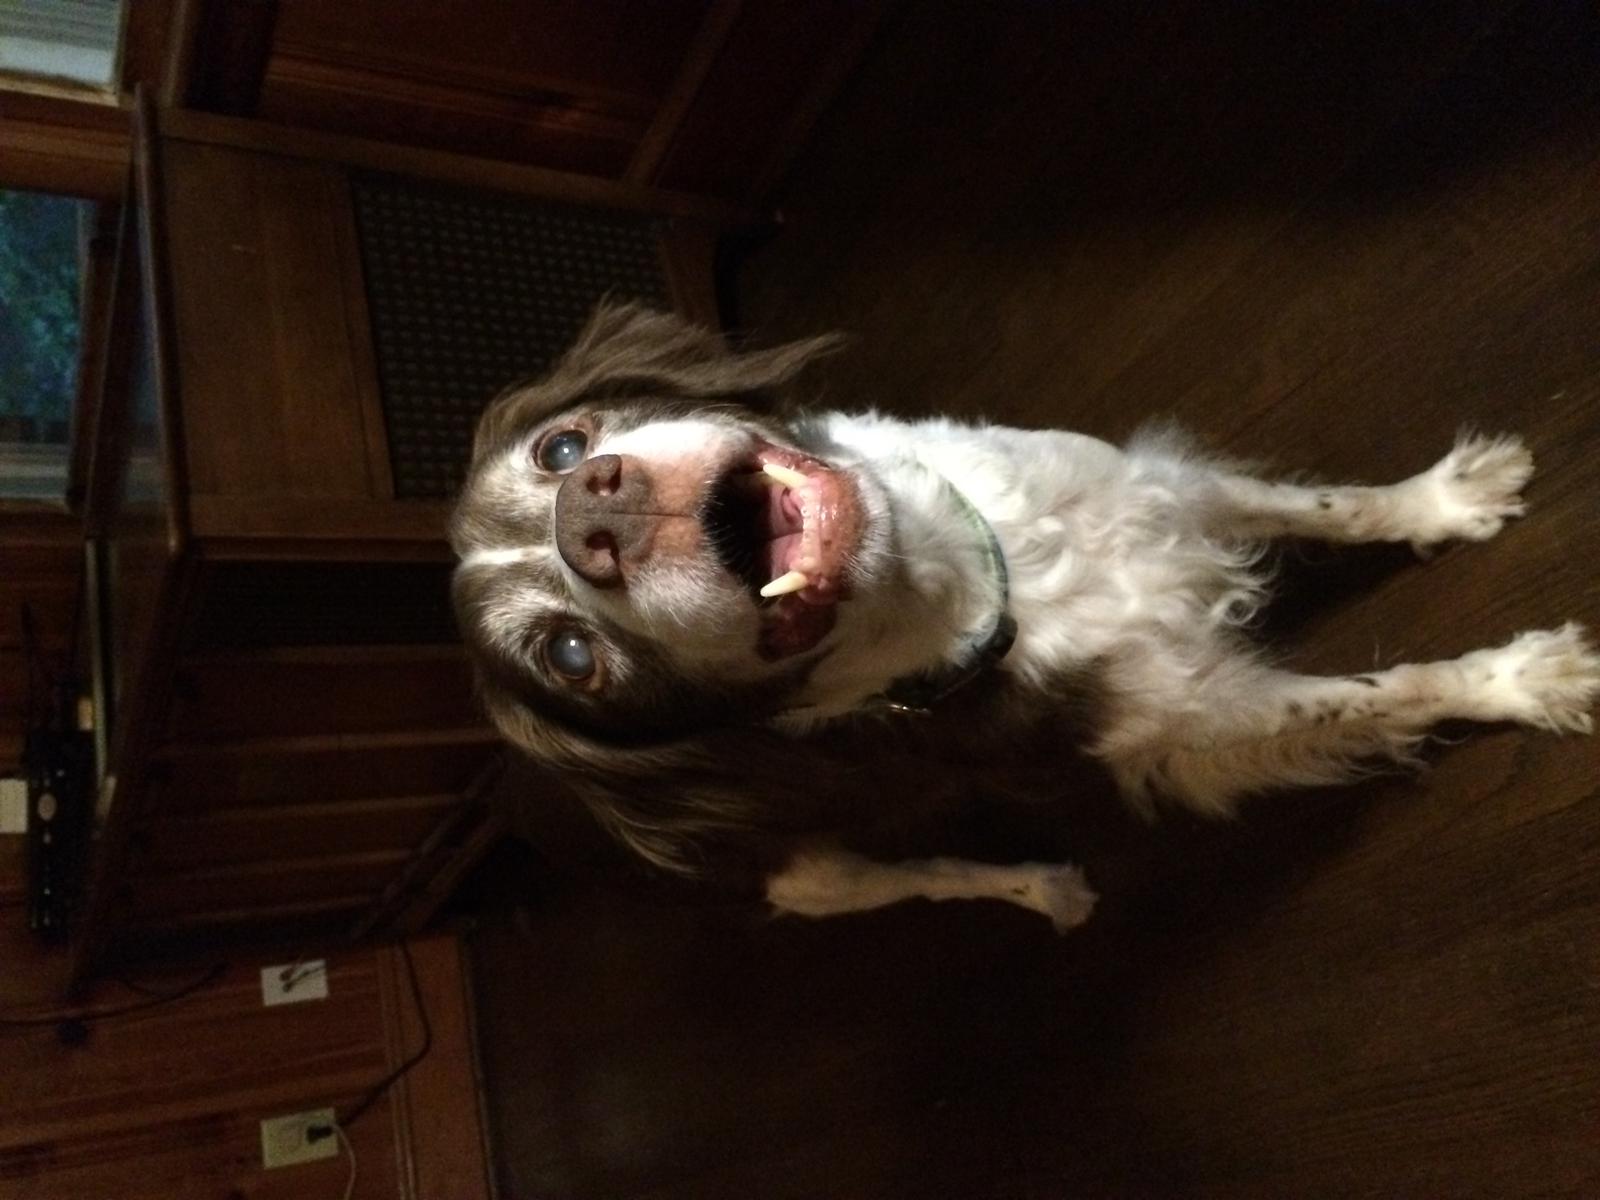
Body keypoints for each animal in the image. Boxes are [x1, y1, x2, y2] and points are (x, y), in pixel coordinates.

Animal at [450, 303, 1599, 931]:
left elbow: (1328, 507)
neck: (972, 579)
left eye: (559, 447)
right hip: (812, 877)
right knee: (928, 880)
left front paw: (1445, 500)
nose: (594, 514)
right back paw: (1041, 886)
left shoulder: (1155, 491)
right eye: (569, 657)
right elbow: (1390, 689)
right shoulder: (1193, 724)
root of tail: (509, 795)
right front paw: (1522, 678)